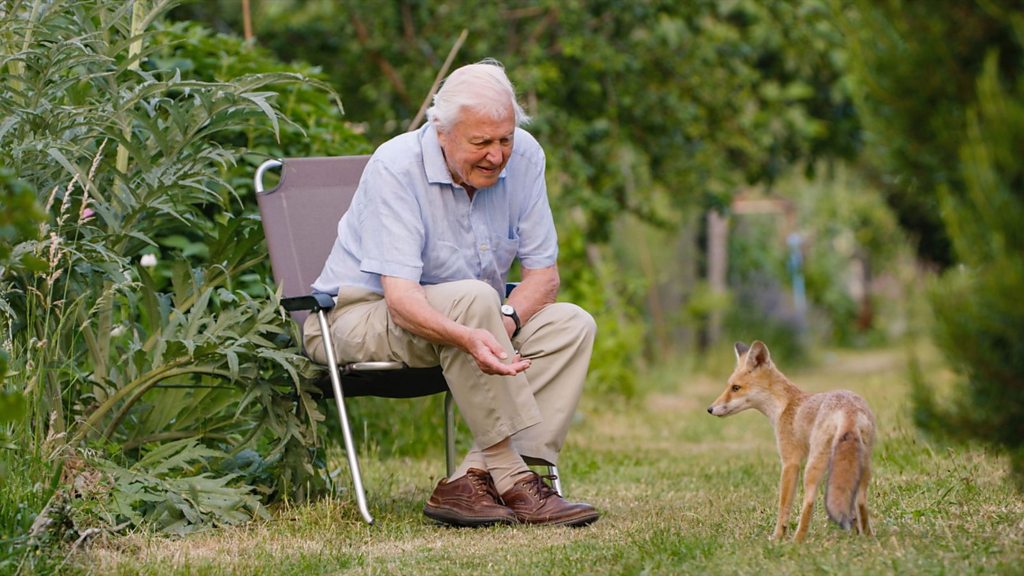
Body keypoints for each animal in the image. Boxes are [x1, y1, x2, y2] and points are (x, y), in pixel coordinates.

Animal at [707, 340, 876, 543]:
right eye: (729, 386)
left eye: (736, 388)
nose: (710, 409)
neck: (784, 406)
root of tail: (848, 410)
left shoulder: (790, 462)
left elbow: (783, 506)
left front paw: (778, 537)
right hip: (862, 466)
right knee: (861, 502)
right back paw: (868, 536)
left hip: (812, 468)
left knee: (809, 502)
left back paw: (797, 540)